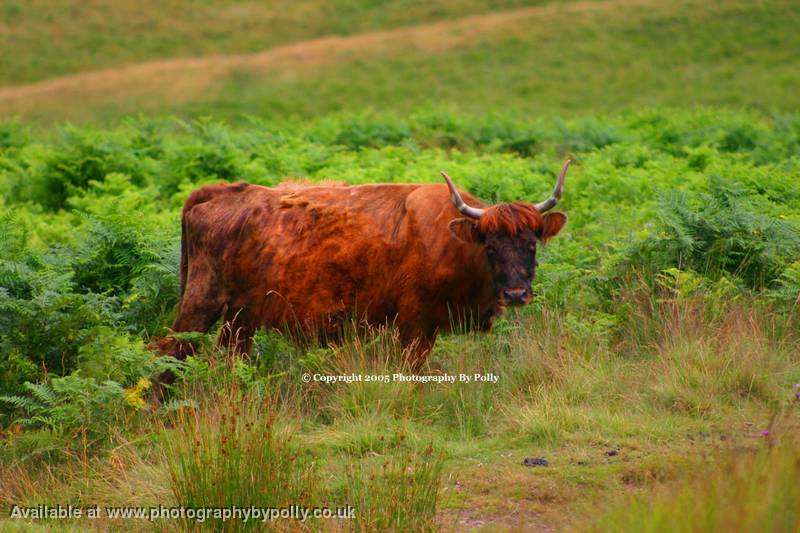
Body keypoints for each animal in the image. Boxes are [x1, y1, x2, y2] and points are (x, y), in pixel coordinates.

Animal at [153, 161, 572, 374]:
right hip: (201, 303)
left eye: (530, 243)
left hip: (241, 317)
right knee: (169, 351)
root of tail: (218, 190)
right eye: (491, 246)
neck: (449, 238)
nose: (516, 293)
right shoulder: (415, 324)